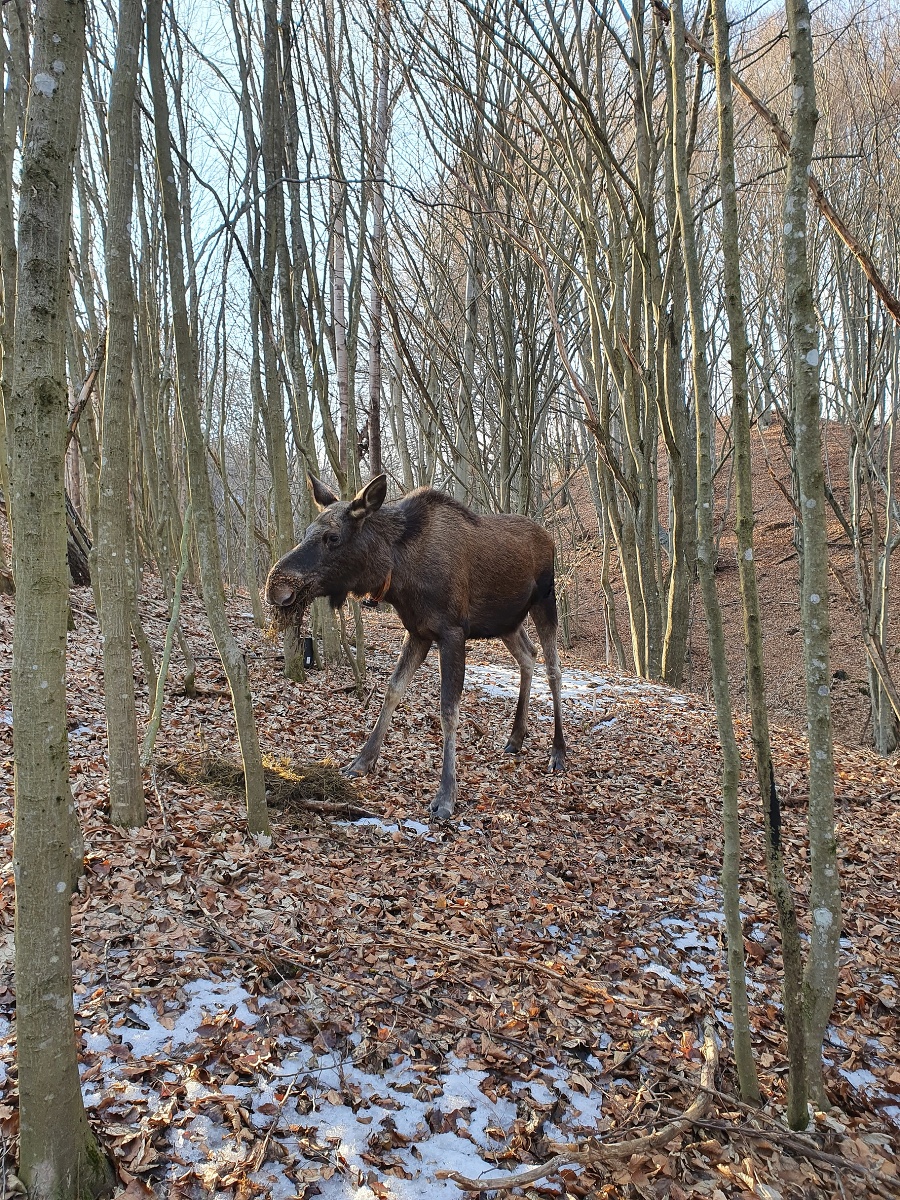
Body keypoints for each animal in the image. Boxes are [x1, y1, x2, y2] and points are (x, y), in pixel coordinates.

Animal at [264, 472, 566, 820]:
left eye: (333, 537)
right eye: (307, 532)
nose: (276, 587)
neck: (398, 573)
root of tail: (550, 538)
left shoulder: (452, 633)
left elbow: (448, 709)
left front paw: (446, 794)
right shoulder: (418, 633)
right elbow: (393, 690)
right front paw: (362, 761)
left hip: (545, 601)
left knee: (554, 669)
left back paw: (558, 752)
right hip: (507, 622)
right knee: (528, 656)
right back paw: (516, 737)